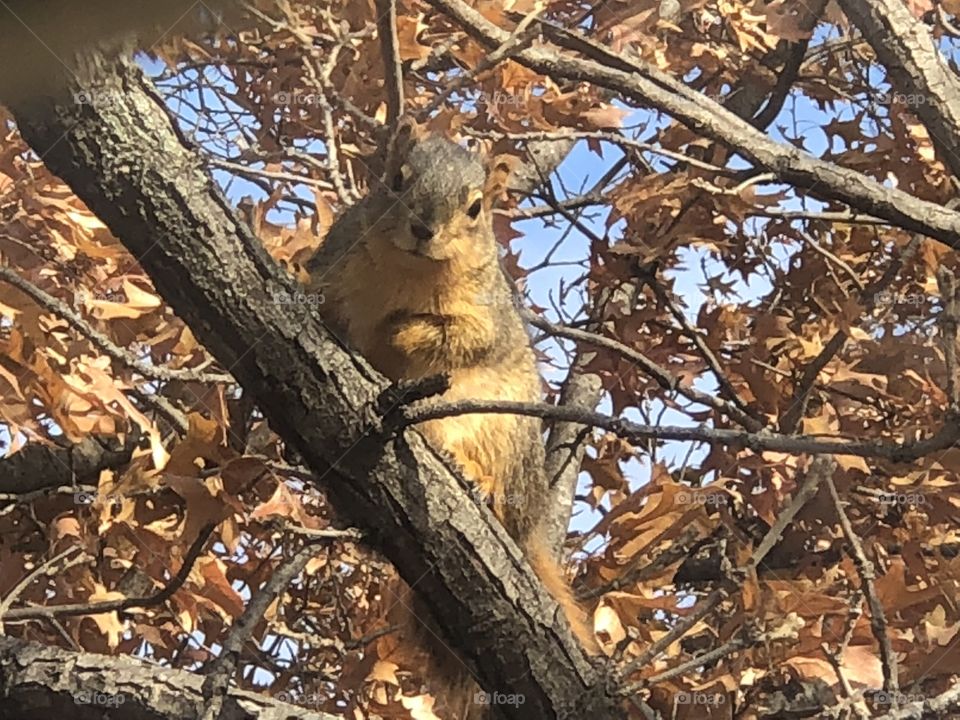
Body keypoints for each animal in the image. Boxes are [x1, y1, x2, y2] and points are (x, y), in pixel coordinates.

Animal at [308, 121, 596, 716]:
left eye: (476, 208)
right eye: (396, 180)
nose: (424, 228)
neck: (410, 271)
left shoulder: (484, 312)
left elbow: (460, 337)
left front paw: (398, 332)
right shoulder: (333, 264)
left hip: (502, 435)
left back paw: (474, 478)